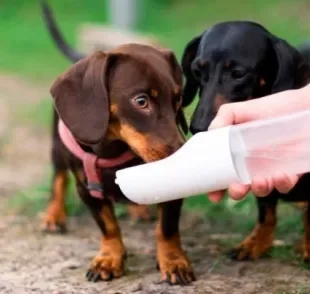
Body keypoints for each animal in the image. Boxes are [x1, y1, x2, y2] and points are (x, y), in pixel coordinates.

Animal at [42, 44, 195, 284]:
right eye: (141, 101)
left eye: (178, 99)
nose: (183, 159)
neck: (114, 150)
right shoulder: (87, 190)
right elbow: (109, 226)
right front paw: (109, 258)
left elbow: (166, 228)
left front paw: (174, 261)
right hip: (57, 149)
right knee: (59, 179)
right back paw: (53, 216)